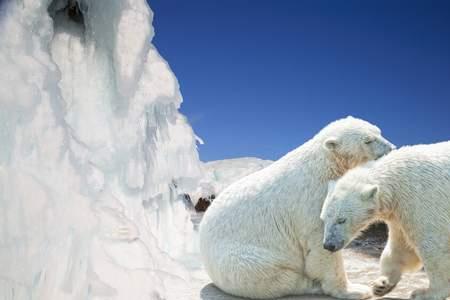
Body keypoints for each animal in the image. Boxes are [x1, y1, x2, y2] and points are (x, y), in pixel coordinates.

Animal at [200, 116, 394, 298]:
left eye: (379, 131)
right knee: (276, 278)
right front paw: (354, 290)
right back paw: (312, 285)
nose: (391, 148)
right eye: (367, 140)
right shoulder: (313, 200)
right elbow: (321, 247)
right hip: (245, 260)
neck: (325, 164)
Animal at [322, 142, 450, 300]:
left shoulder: (423, 199)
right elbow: (401, 248)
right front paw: (381, 285)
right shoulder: (399, 212)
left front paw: (426, 292)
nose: (329, 245)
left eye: (341, 220)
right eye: (323, 218)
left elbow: (433, 246)